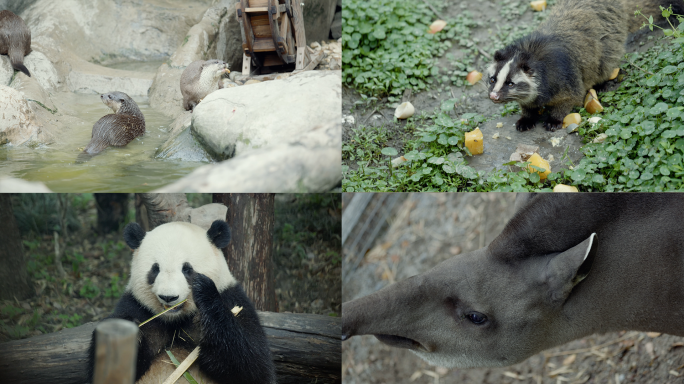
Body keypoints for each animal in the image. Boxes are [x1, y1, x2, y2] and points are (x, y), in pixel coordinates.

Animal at [87, 219, 276, 384]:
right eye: (155, 269)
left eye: (187, 269)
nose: (168, 297)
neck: (175, 321)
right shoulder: (135, 305)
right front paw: (135, 330)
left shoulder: (232, 298)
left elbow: (253, 363)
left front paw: (204, 293)